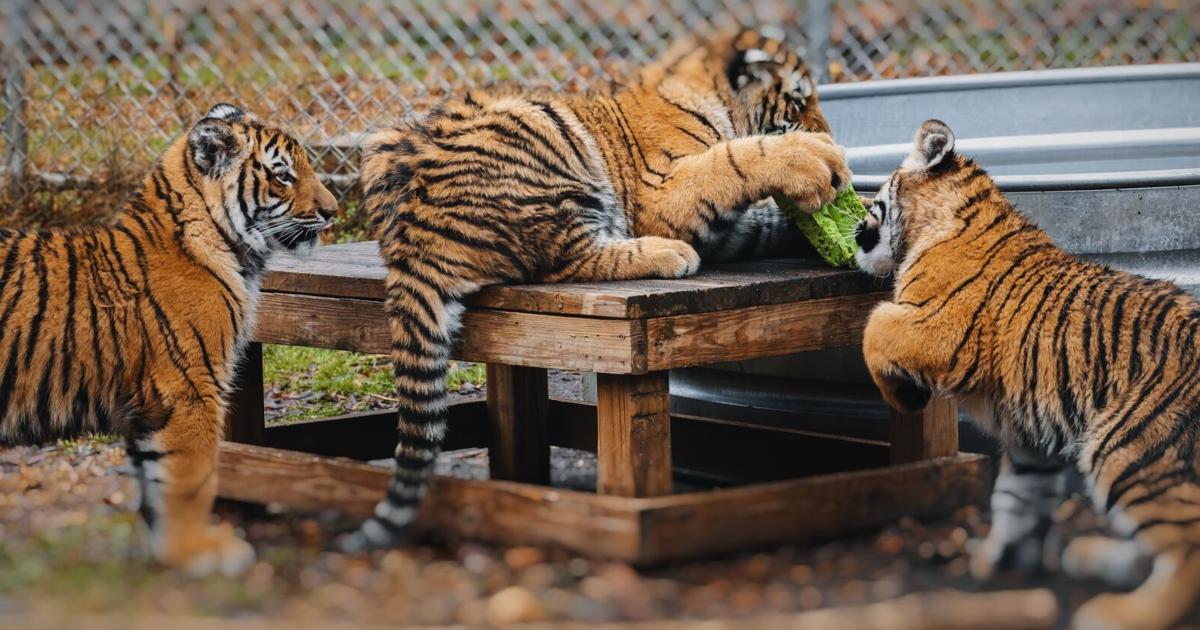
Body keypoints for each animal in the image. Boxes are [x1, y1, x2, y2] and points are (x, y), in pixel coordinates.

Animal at [0, 103, 336, 576]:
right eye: (283, 175)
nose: (333, 212)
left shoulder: (147, 406)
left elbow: (154, 480)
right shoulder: (189, 388)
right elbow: (192, 479)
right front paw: (195, 551)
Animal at [345, 29, 851, 551]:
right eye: (799, 99)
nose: (831, 136)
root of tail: (409, 232)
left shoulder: (726, 231)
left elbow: (764, 223)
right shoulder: (662, 193)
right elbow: (735, 159)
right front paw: (815, 159)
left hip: (385, 142)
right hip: (541, 130)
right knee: (568, 258)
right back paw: (667, 254)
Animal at [856, 119, 1200, 629]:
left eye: (875, 197)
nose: (856, 222)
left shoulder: (937, 329)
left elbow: (874, 324)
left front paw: (904, 396)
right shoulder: (1030, 442)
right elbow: (1016, 501)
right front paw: (998, 562)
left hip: (1131, 445)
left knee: (1188, 545)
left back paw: (1119, 612)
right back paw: (1092, 557)